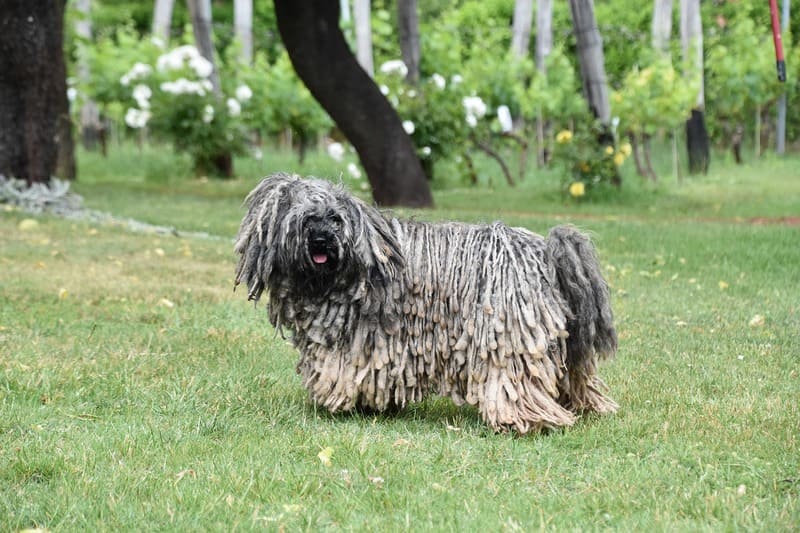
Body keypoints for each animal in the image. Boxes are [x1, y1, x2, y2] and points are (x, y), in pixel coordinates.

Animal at [233, 175, 620, 432]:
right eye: (308, 219)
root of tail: (543, 251)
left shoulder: (361, 339)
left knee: (514, 378)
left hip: (510, 333)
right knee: (572, 373)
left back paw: (523, 420)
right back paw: (583, 407)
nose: (322, 240)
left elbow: (349, 371)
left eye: (335, 219)